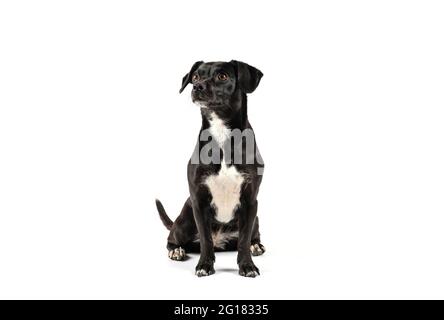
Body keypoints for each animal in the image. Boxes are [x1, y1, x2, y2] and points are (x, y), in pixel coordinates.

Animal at [156, 60, 266, 278]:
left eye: (222, 76)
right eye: (195, 77)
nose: (197, 87)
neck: (222, 134)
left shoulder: (250, 200)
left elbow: (243, 240)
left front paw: (247, 265)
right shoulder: (198, 201)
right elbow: (205, 240)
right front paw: (205, 265)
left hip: (256, 217)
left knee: (251, 236)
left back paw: (256, 246)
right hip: (185, 219)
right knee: (172, 238)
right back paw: (176, 250)